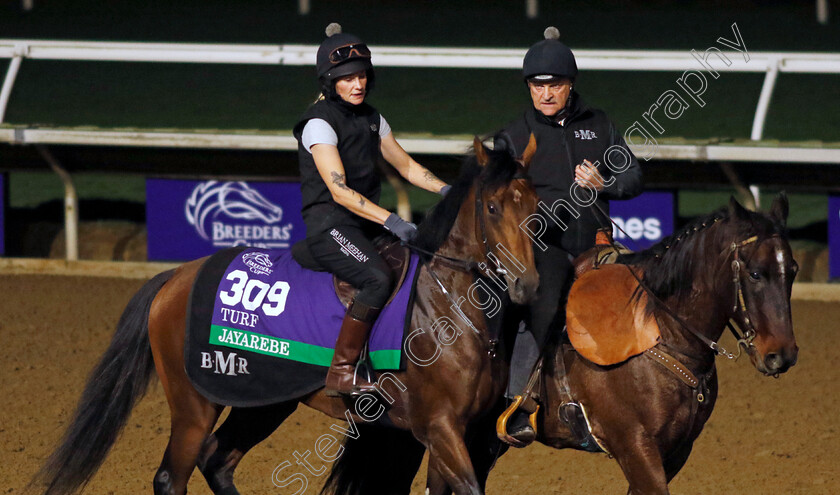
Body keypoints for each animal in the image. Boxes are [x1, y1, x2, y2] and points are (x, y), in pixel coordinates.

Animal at [31, 138, 540, 495]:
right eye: (492, 207)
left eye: (534, 205)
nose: (528, 285)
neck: (450, 310)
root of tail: (176, 276)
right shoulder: (438, 426)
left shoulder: (457, 431)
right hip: (195, 403)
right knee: (171, 477)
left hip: (264, 401)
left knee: (217, 462)